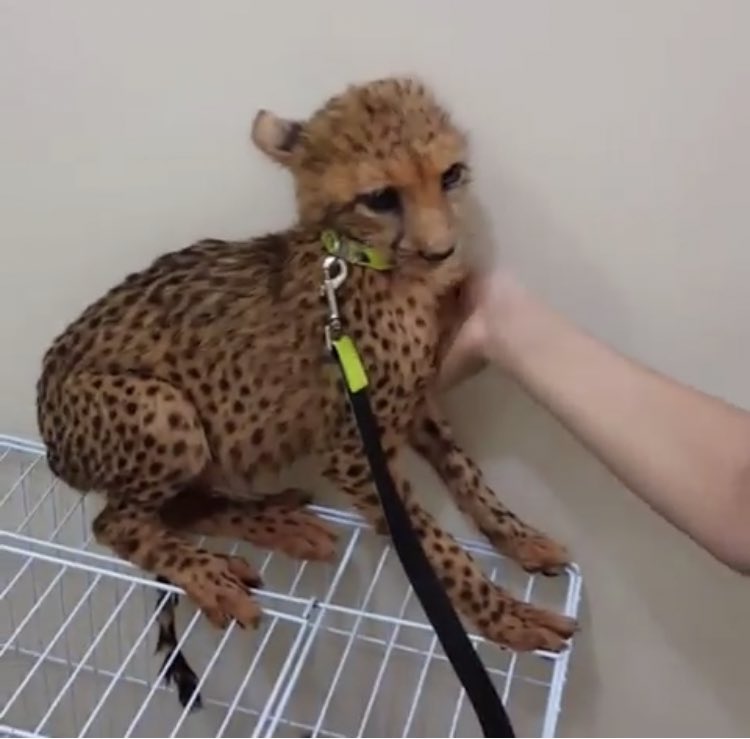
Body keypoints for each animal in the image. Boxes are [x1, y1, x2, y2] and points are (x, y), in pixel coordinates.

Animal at [35, 76, 576, 708]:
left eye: (450, 175)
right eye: (381, 197)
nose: (442, 251)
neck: (356, 261)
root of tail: (48, 431)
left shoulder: (413, 405)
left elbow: (468, 476)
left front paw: (521, 540)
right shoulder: (355, 452)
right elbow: (434, 547)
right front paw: (508, 618)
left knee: (177, 507)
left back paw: (279, 522)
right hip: (163, 410)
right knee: (116, 523)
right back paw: (211, 575)